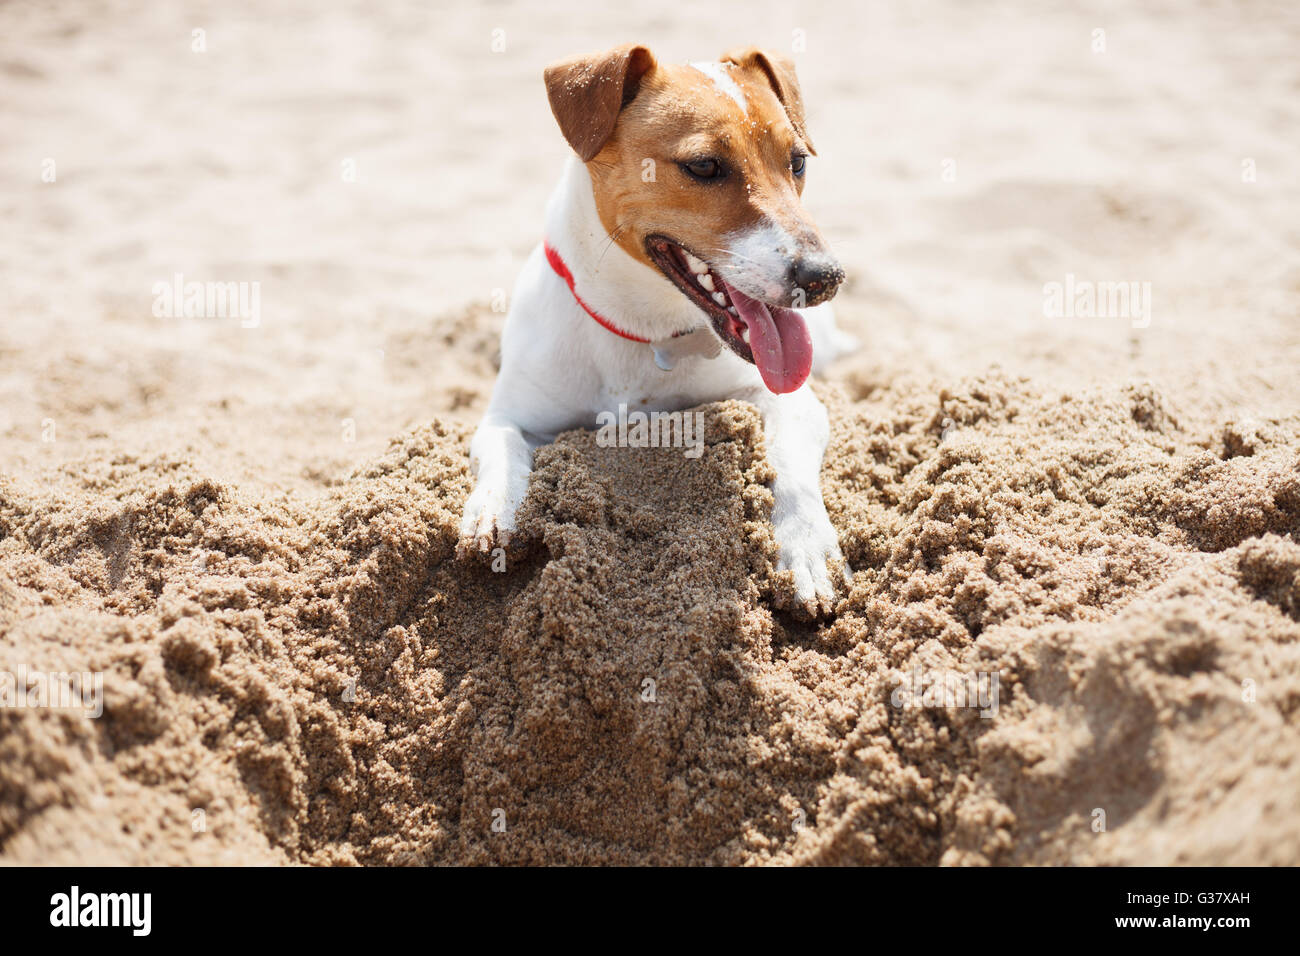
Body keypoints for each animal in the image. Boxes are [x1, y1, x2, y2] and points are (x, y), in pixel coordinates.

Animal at [462, 44, 857, 613]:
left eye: (797, 162)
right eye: (704, 166)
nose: (824, 277)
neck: (646, 331)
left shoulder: (790, 400)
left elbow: (789, 464)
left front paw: (805, 547)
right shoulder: (511, 412)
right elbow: (501, 446)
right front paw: (495, 508)